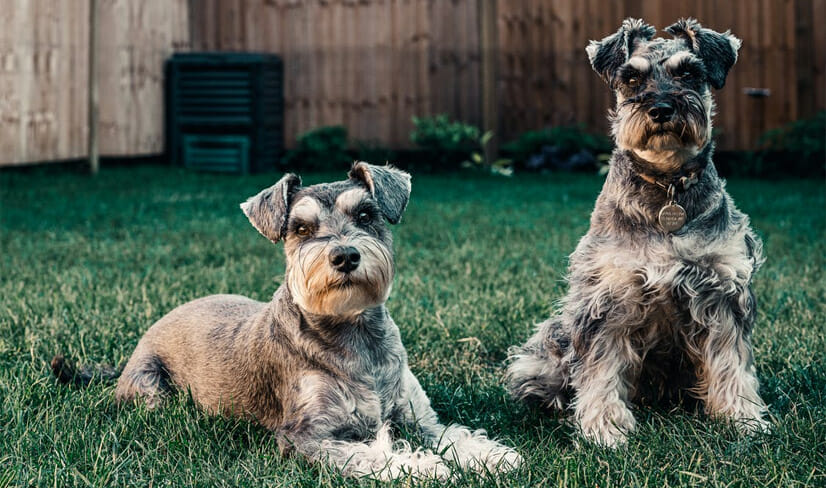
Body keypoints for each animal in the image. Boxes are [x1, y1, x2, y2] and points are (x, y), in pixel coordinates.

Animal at [51, 164, 520, 480]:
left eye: (366, 215)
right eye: (300, 228)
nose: (345, 256)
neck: (355, 335)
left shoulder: (418, 418)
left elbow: (452, 434)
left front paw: (492, 456)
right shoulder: (304, 436)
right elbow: (369, 454)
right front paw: (423, 468)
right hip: (152, 393)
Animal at [506, 18, 768, 446]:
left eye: (688, 73)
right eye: (631, 78)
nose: (661, 109)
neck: (667, 185)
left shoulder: (722, 291)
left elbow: (732, 362)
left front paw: (743, 418)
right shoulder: (609, 298)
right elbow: (600, 369)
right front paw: (604, 428)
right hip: (548, 345)